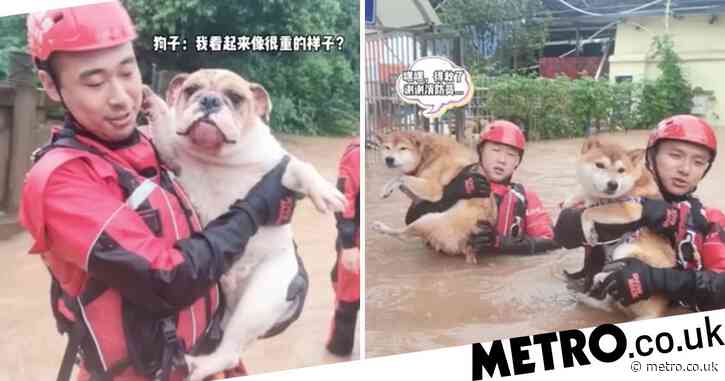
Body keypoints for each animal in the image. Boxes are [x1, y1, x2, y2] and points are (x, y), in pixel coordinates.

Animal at [143, 69, 346, 380]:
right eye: (190, 90)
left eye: (236, 98)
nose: (210, 100)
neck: (216, 157)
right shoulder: (173, 154)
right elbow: (165, 130)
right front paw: (153, 101)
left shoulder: (281, 169)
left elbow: (301, 167)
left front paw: (325, 192)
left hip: (260, 298)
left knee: (231, 348)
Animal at [370, 131, 494, 264]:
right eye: (387, 147)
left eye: (403, 148)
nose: (389, 159)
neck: (426, 153)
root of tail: (471, 249)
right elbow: (406, 184)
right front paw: (391, 189)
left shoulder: (433, 190)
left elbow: (400, 177)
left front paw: (385, 189)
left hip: (426, 220)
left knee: (403, 234)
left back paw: (381, 227)